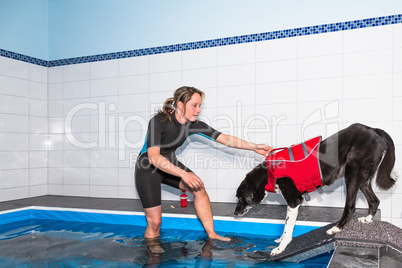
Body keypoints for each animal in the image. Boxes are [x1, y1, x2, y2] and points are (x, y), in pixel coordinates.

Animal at [234, 123, 398, 255]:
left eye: (241, 198)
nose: (235, 213)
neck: (269, 173)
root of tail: (374, 129)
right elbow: (285, 225)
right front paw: (280, 240)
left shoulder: (294, 201)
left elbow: (287, 227)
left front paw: (280, 248)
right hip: (363, 179)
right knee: (375, 201)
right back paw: (367, 219)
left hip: (352, 173)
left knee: (351, 205)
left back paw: (337, 228)